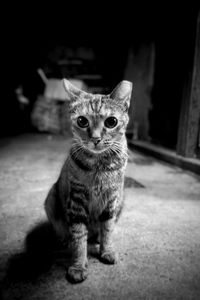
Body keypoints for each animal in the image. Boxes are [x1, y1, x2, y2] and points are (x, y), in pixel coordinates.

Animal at [45, 78, 133, 282]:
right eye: (82, 120)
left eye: (111, 121)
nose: (95, 138)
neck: (99, 167)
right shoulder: (76, 200)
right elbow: (78, 235)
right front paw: (78, 265)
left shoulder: (112, 198)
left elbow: (107, 227)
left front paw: (107, 250)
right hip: (51, 199)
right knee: (65, 230)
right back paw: (64, 239)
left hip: (122, 200)